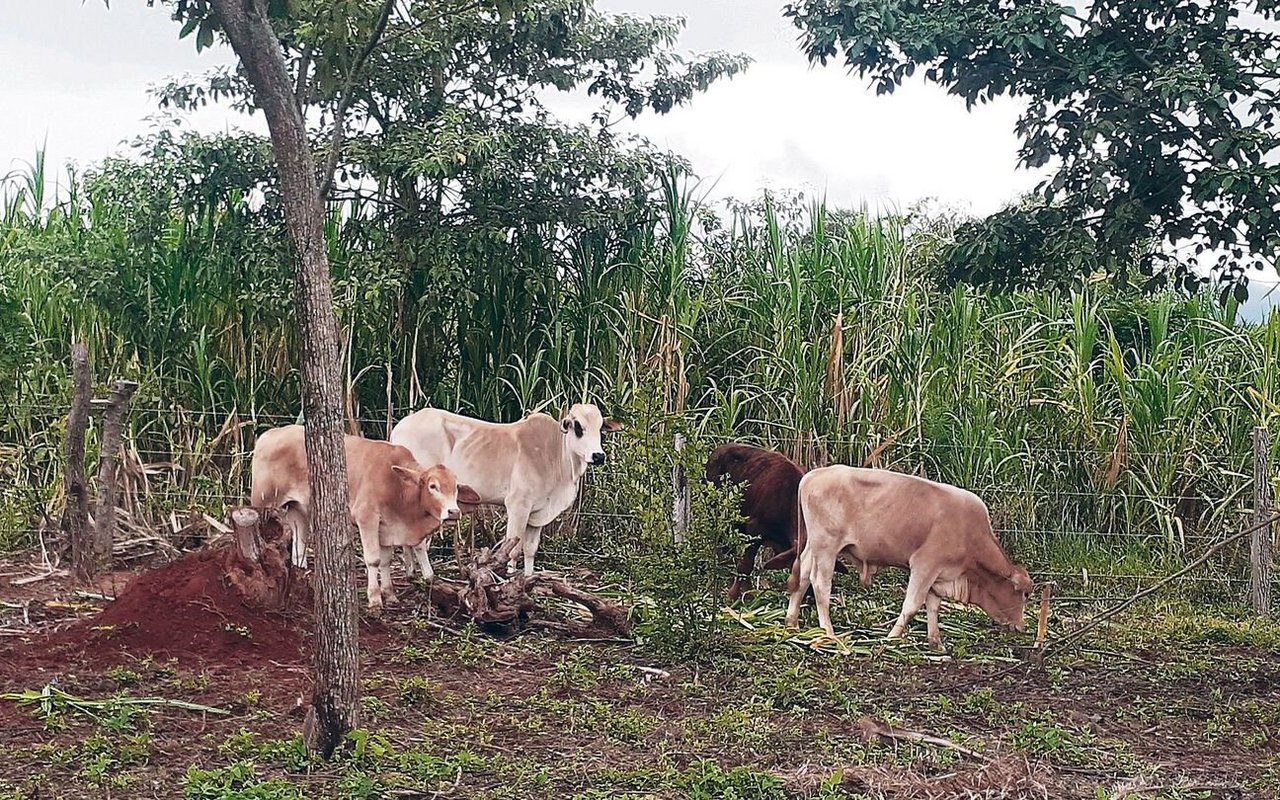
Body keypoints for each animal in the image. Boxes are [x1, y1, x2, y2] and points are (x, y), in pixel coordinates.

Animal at [247, 424, 478, 611]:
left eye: (456, 488)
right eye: (433, 486)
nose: (453, 512)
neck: (399, 488)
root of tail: (269, 434)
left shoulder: (386, 528)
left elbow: (386, 560)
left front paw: (390, 594)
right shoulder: (367, 518)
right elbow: (373, 559)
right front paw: (375, 599)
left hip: (298, 508)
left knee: (299, 546)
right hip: (262, 501)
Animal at [394, 404, 624, 573]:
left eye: (600, 428)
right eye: (578, 427)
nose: (598, 456)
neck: (556, 454)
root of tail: (401, 426)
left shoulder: (538, 512)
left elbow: (530, 550)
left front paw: (528, 581)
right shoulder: (518, 505)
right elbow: (513, 551)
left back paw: (410, 571)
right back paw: (427, 575)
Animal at [783, 465, 1034, 645]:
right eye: (1024, 594)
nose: (1022, 627)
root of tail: (816, 474)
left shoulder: (938, 574)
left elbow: (933, 606)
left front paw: (935, 642)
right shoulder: (924, 566)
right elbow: (912, 605)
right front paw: (892, 638)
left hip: (813, 547)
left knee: (802, 577)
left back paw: (791, 623)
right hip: (827, 547)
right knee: (820, 585)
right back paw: (829, 633)